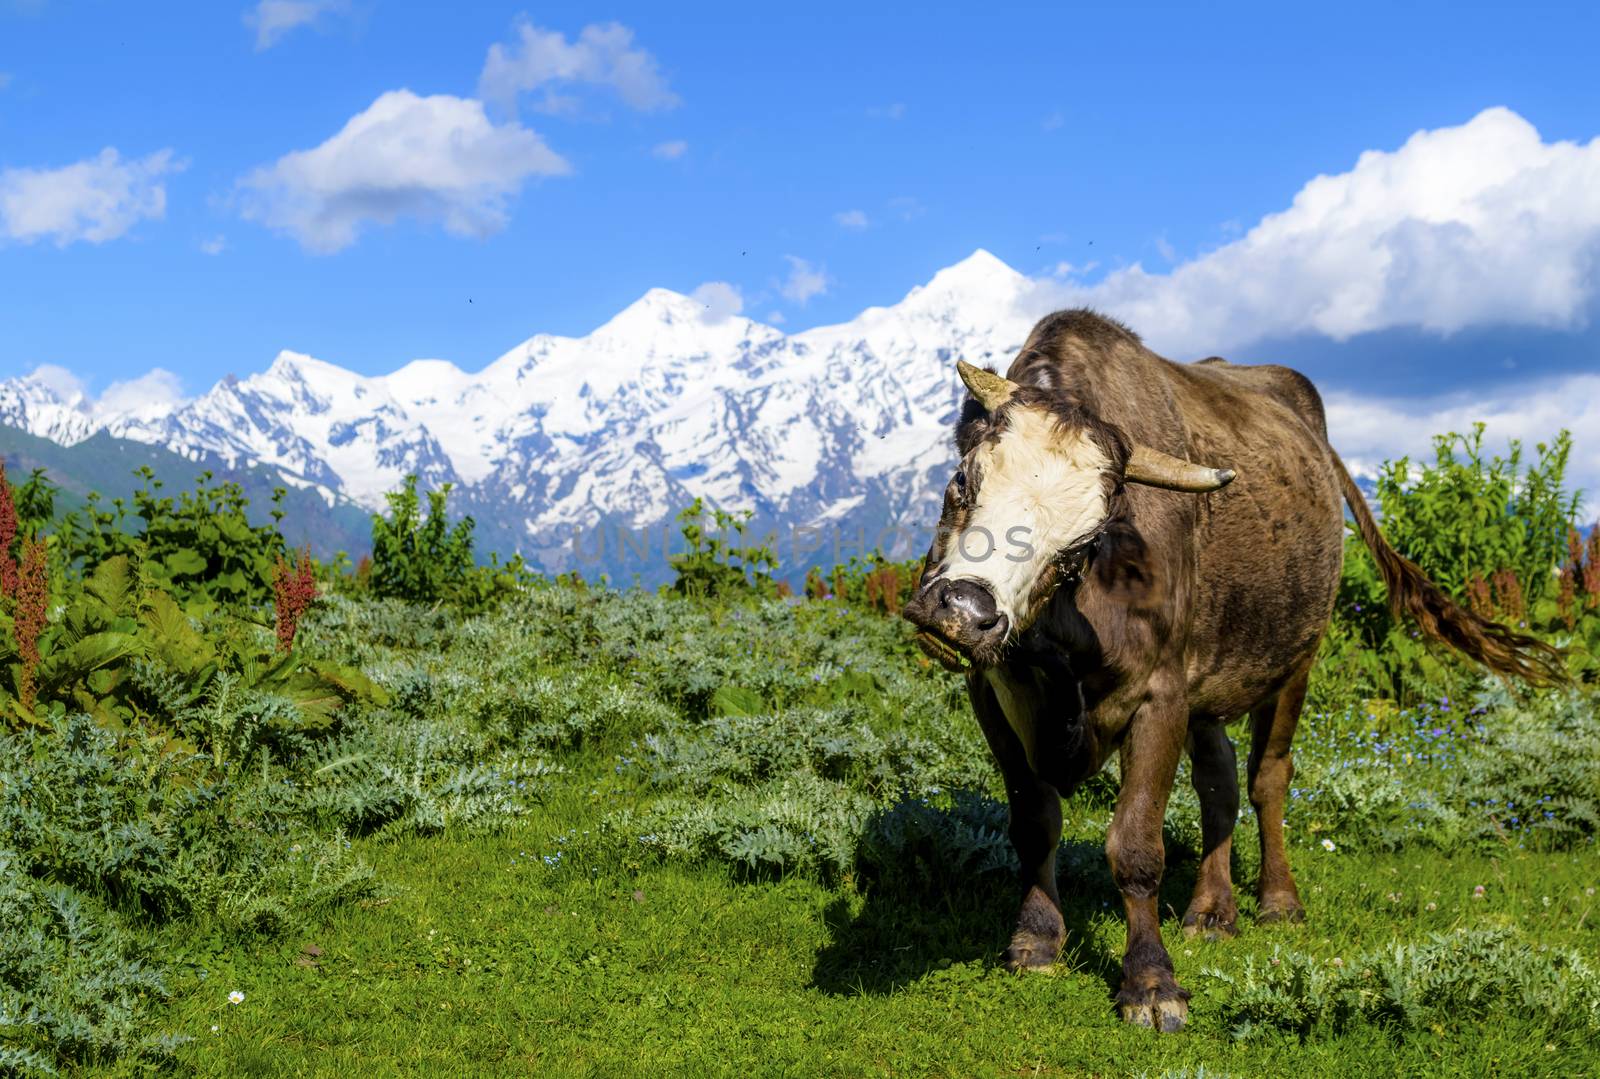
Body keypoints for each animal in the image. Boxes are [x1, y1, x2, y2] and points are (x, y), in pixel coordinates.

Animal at [908, 308, 1568, 1024]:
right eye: (961, 482)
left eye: (1082, 544)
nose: (963, 610)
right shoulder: (992, 692)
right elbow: (1034, 822)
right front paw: (1035, 941)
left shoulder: (1161, 696)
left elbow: (1136, 846)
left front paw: (1151, 983)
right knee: (1218, 783)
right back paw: (1211, 911)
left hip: (1297, 662)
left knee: (1266, 779)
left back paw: (1277, 902)